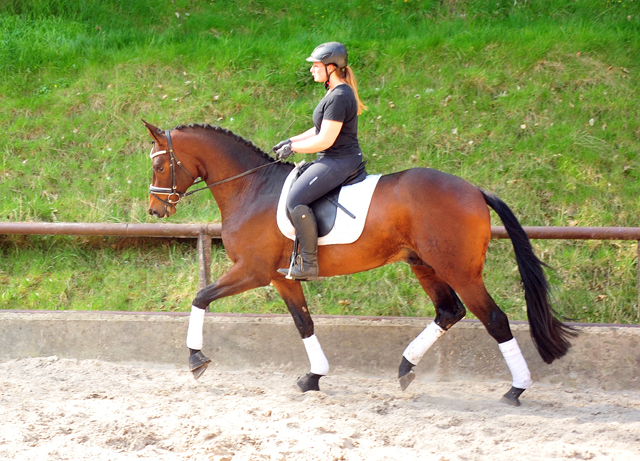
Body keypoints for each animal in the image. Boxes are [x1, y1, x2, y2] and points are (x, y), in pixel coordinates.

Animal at [145, 120, 576, 404]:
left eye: (159, 165)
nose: (154, 210)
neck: (251, 188)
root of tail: (474, 190)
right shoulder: (283, 278)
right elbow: (304, 323)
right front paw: (313, 378)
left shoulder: (253, 270)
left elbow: (201, 297)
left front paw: (196, 359)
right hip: (424, 264)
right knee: (449, 311)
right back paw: (405, 367)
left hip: (459, 270)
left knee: (494, 319)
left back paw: (515, 389)